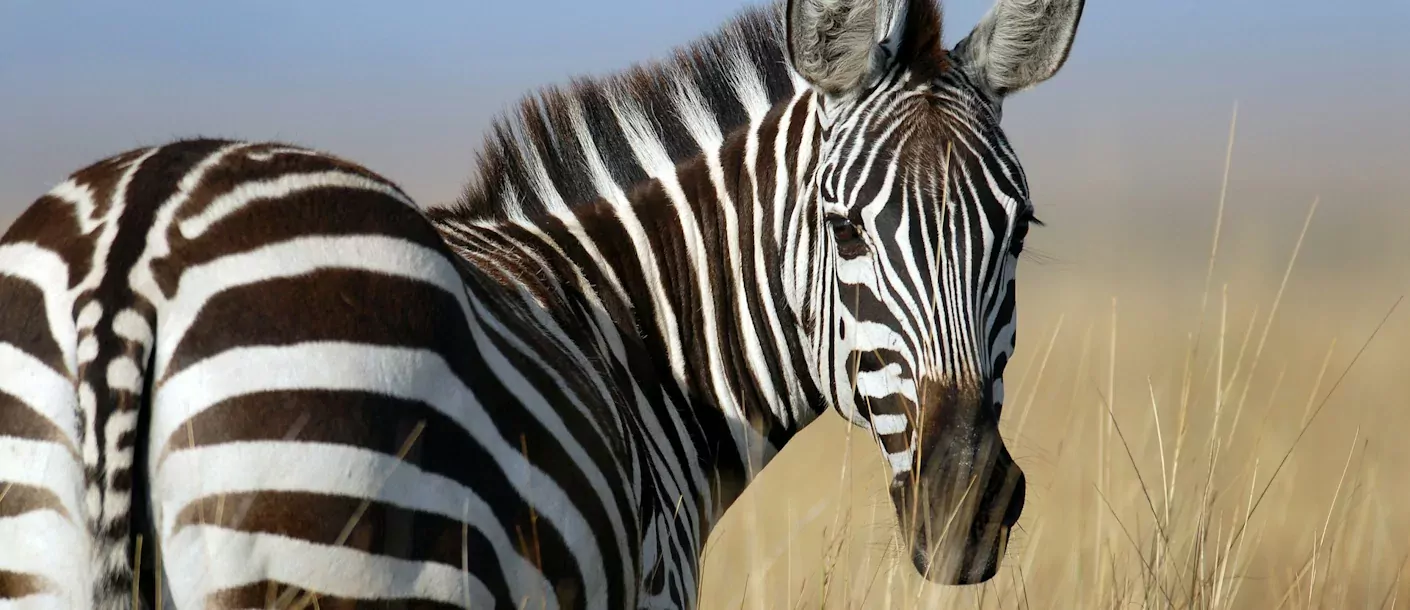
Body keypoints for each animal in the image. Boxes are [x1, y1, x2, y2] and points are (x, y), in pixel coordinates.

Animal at [0, 0, 1077, 602]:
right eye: (845, 229)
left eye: (1018, 231)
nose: (968, 508)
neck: (644, 341)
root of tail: (134, 243)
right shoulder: (648, 588)